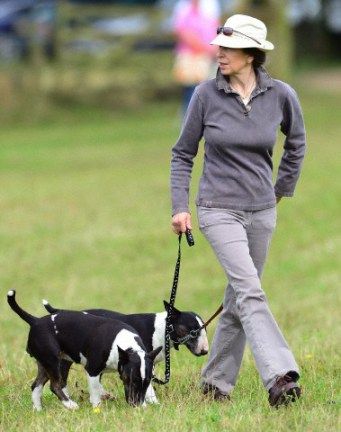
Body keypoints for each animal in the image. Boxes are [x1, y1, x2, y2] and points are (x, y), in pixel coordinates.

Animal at [7, 292, 161, 410]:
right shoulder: (92, 370)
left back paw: (38, 410)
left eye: (148, 381)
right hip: (52, 361)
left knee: (36, 385)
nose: (137, 405)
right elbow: (95, 390)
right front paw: (97, 408)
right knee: (55, 385)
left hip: (45, 364)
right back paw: (70, 405)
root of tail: (35, 321)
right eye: (132, 380)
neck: (125, 346)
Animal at [41, 298, 209, 404]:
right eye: (193, 331)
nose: (205, 351)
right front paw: (154, 402)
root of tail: (59, 312)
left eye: (205, 329)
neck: (163, 328)